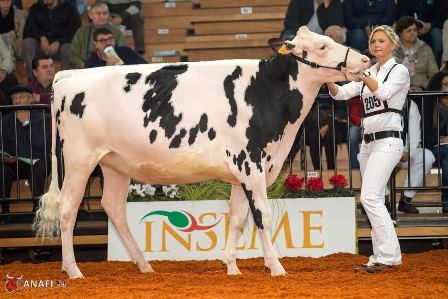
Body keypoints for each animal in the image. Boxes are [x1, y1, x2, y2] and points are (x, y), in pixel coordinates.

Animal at [33, 27, 370, 280]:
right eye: (323, 46)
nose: (366, 59)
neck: (265, 92)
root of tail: (70, 75)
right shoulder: (251, 163)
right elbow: (262, 214)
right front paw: (276, 266)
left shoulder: (242, 171)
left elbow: (237, 218)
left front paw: (231, 266)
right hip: (79, 160)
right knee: (67, 207)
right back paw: (73, 270)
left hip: (114, 163)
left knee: (113, 207)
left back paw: (144, 265)